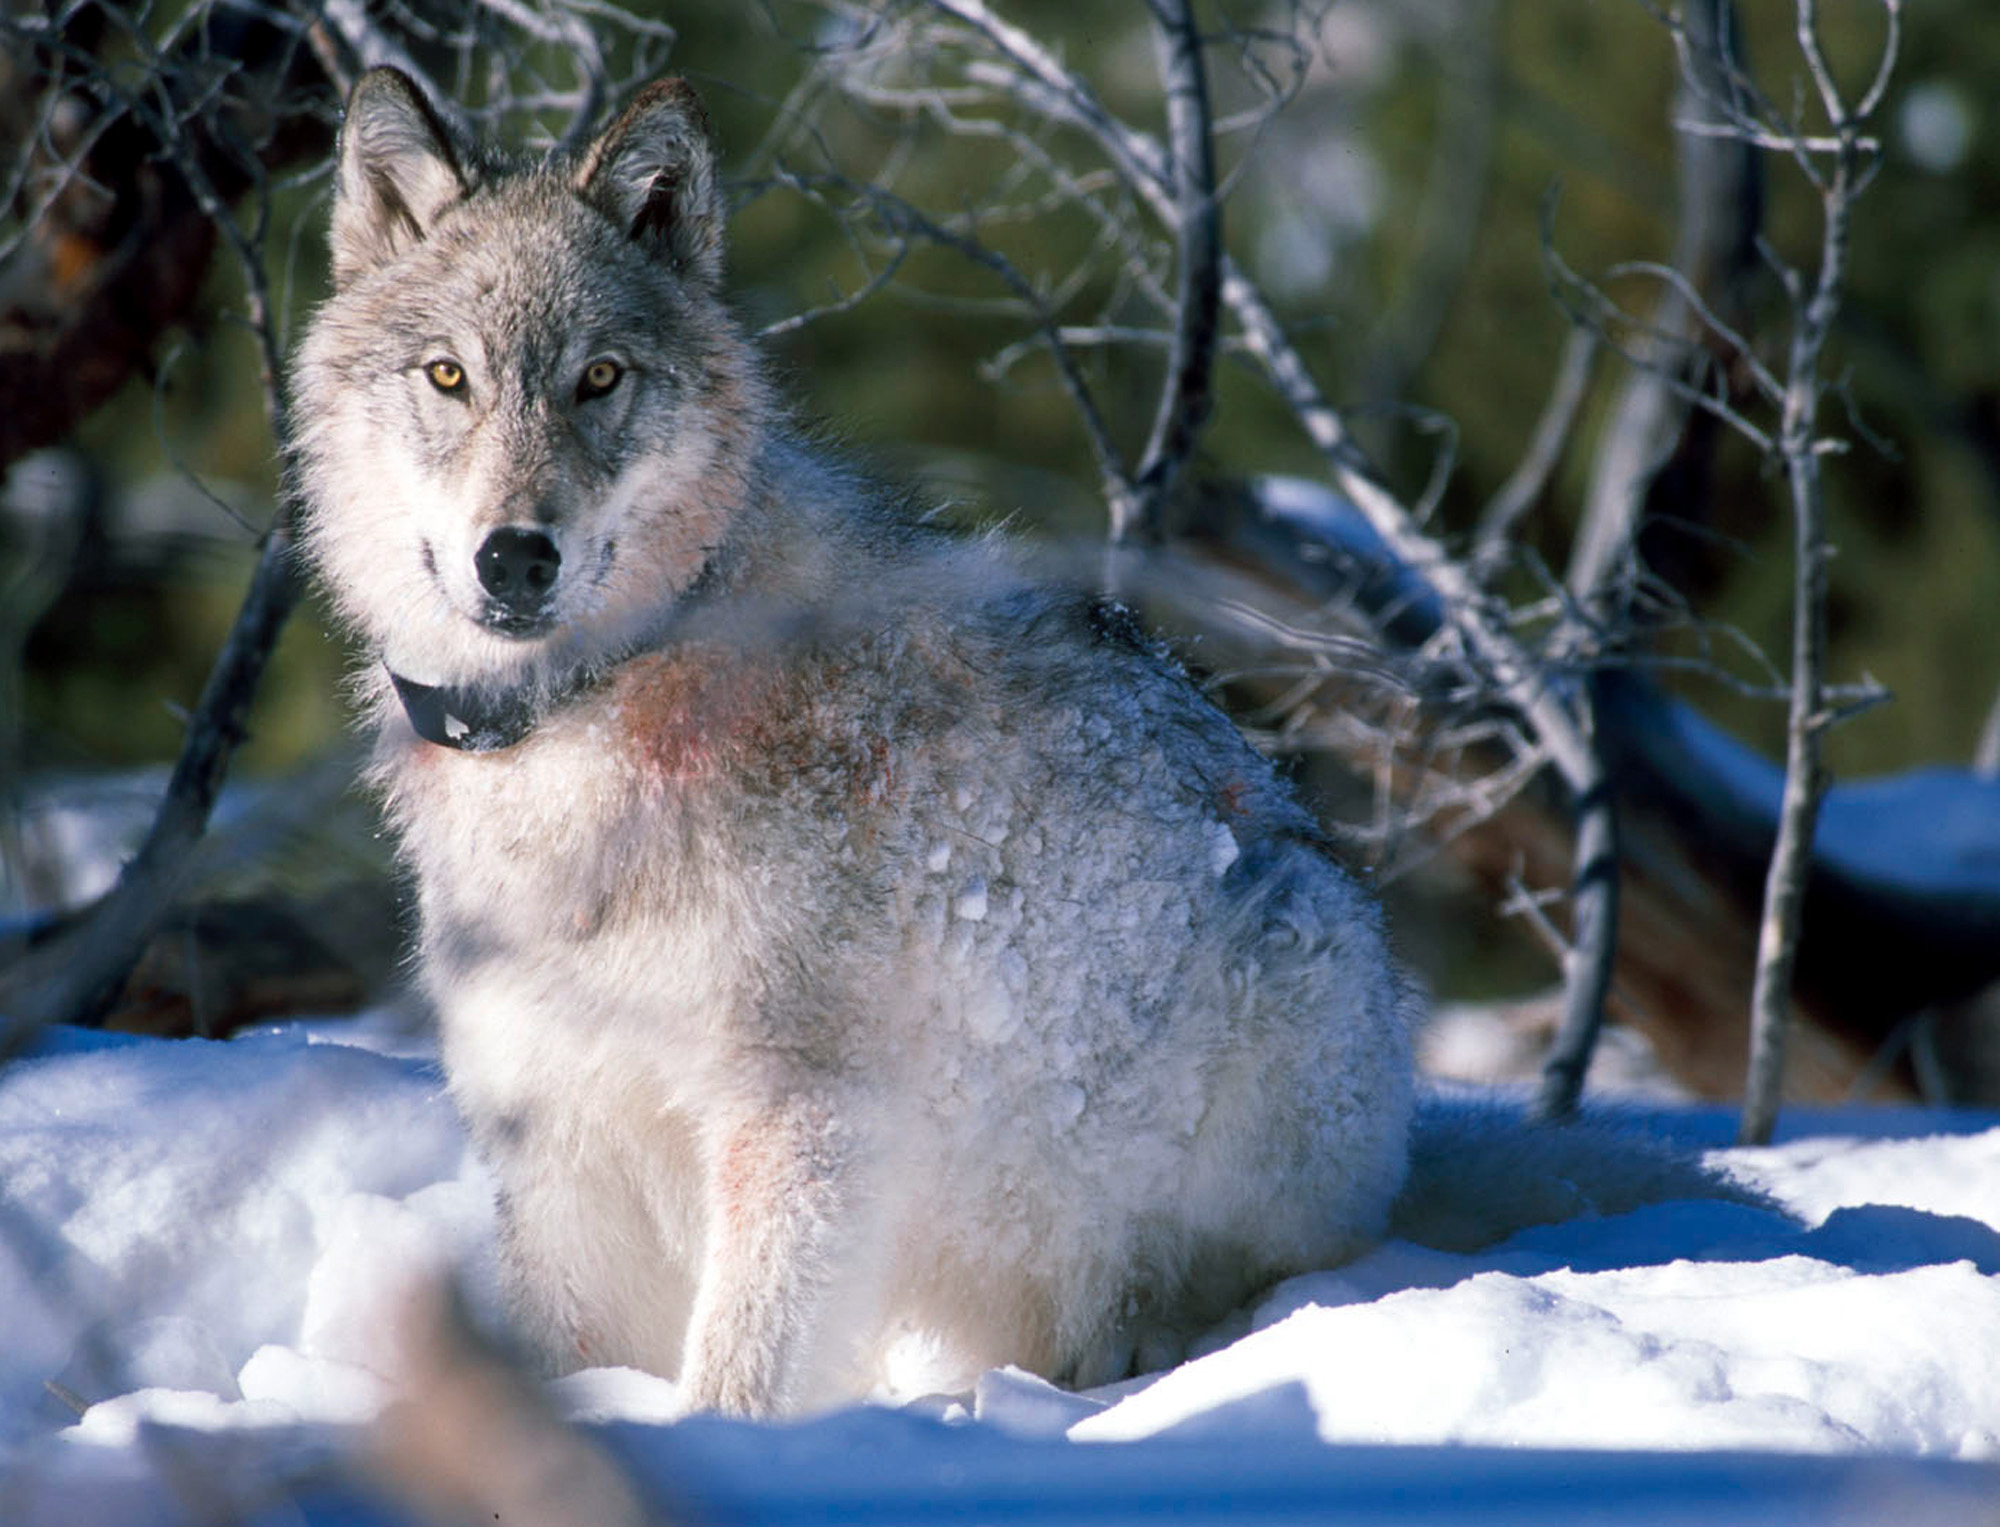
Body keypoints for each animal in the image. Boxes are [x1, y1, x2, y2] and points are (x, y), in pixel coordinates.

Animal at [290, 68, 1744, 1423]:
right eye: (448, 376)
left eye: (599, 378)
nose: (515, 556)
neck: (587, 710)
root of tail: (1396, 1147)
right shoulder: (562, 1142)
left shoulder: (801, 1124)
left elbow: (739, 1376)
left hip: (1277, 962)